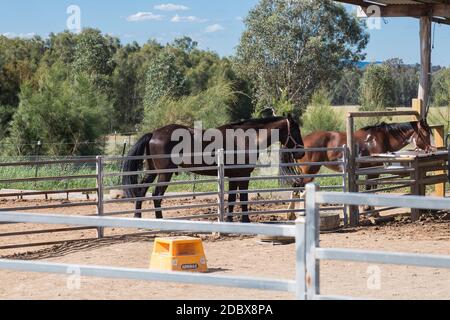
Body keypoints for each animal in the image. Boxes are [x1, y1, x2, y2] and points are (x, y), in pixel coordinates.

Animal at [121, 115, 304, 222]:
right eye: (295, 129)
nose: (301, 151)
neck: (246, 138)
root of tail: (153, 133)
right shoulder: (243, 175)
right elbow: (242, 198)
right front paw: (245, 220)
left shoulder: (233, 176)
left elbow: (232, 199)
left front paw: (229, 220)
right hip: (164, 174)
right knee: (156, 195)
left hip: (152, 172)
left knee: (141, 190)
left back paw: (138, 217)